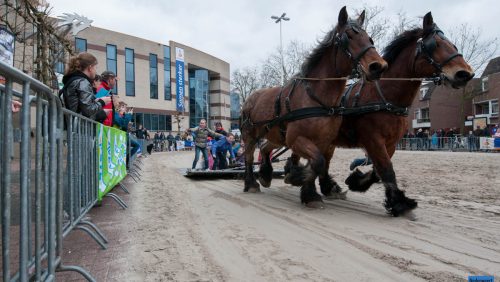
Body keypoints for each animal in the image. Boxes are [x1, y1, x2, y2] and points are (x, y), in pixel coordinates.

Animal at [240, 6, 388, 207]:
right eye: (348, 37)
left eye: (369, 38)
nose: (378, 66)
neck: (317, 97)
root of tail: (249, 99)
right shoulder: (297, 139)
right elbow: (317, 162)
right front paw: (301, 182)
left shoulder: (323, 141)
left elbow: (319, 164)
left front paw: (307, 188)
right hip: (250, 135)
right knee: (248, 156)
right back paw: (251, 183)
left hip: (276, 135)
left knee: (264, 148)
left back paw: (265, 174)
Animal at [286, 12, 472, 217]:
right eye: (435, 44)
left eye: (452, 44)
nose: (465, 73)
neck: (385, 96)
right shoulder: (373, 140)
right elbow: (387, 169)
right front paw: (400, 204)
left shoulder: (390, 143)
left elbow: (379, 170)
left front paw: (357, 181)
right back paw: (295, 175)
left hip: (328, 140)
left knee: (323, 161)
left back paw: (325, 186)